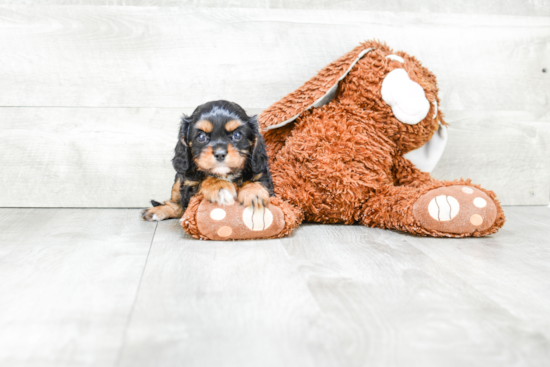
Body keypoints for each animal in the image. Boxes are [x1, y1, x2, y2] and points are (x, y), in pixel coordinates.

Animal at [140, 99, 274, 223]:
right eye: (201, 137)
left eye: (237, 135)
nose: (220, 154)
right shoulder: (188, 187)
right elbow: (203, 180)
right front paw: (219, 186)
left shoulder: (263, 175)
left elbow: (257, 181)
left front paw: (254, 192)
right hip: (179, 179)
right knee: (177, 206)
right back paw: (158, 211)